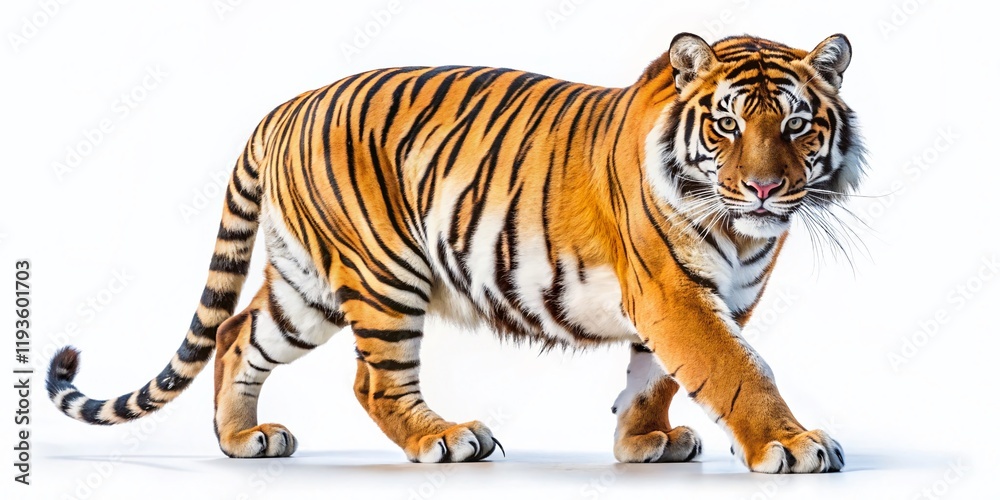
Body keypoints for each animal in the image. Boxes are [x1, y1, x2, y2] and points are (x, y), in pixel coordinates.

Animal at [47, 32, 865, 473]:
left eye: (796, 126)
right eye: (728, 124)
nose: (763, 188)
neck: (743, 234)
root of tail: (283, 107)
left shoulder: (716, 297)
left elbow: (655, 377)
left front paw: (643, 442)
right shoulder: (673, 292)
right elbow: (735, 371)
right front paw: (791, 445)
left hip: (306, 287)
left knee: (235, 332)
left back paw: (243, 440)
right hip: (382, 272)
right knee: (374, 383)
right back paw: (444, 437)